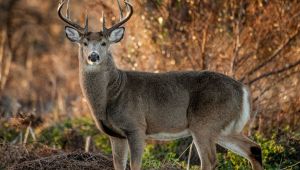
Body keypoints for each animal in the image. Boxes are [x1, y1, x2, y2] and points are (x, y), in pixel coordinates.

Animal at [56, 0, 262, 169]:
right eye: (84, 43)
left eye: (104, 43)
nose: (94, 56)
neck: (112, 94)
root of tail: (243, 89)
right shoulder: (115, 135)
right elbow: (118, 165)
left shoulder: (136, 126)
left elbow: (136, 165)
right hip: (225, 127)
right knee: (254, 148)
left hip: (205, 122)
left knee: (210, 160)